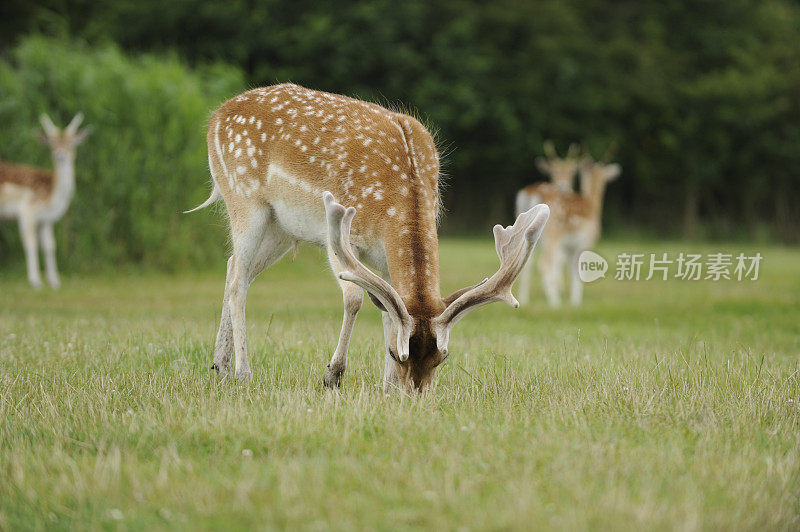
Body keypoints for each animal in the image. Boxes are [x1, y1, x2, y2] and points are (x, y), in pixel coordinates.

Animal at [0, 112, 91, 286]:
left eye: (71, 143)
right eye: (52, 144)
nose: (60, 154)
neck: (53, 194)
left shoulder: (46, 220)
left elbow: (49, 246)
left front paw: (54, 281)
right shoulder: (28, 211)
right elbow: (31, 244)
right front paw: (35, 281)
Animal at [188, 83, 552, 390]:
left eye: (441, 358)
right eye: (397, 354)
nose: (414, 392)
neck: (393, 202)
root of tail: (215, 117)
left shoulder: (386, 258)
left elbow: (388, 310)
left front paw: (386, 385)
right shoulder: (338, 231)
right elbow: (355, 298)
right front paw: (333, 375)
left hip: (281, 227)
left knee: (235, 267)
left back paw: (219, 365)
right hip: (244, 198)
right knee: (239, 279)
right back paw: (242, 373)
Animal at [516, 144, 620, 308]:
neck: (593, 207)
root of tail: (532, 192)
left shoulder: (568, 247)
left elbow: (569, 269)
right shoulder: (584, 242)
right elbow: (577, 270)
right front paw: (576, 303)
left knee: (526, 263)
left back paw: (524, 301)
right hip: (552, 234)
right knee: (544, 264)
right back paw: (555, 303)